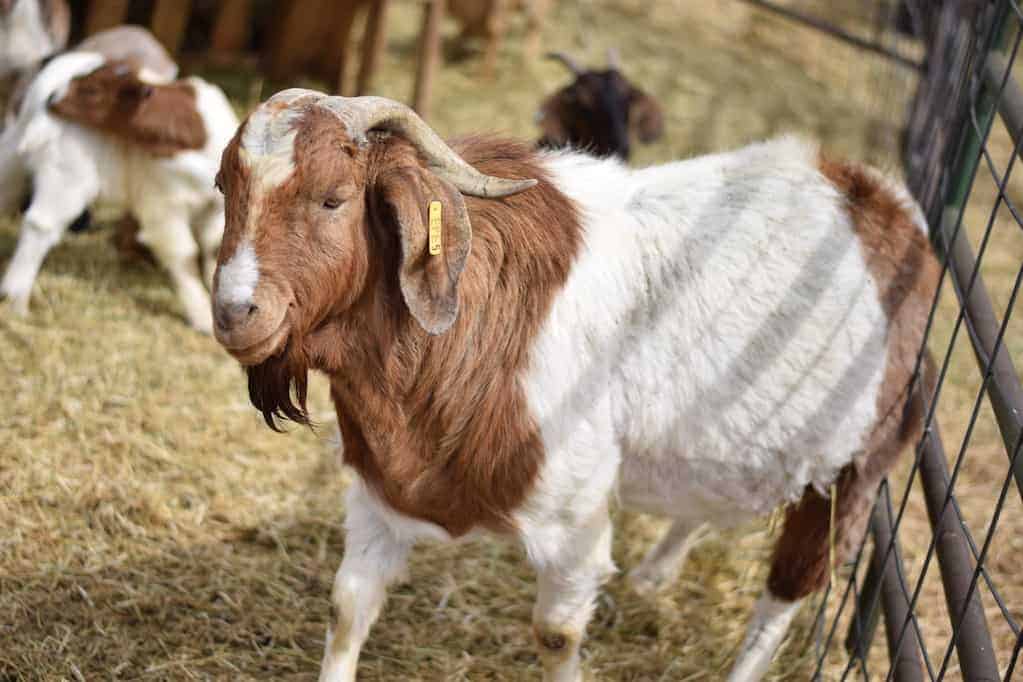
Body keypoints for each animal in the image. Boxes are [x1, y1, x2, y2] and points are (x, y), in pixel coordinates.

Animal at [0, 53, 237, 333]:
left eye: (92, 90)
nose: (53, 99)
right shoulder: (162, 204)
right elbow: (184, 254)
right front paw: (201, 316)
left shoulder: (217, 206)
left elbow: (214, 247)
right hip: (66, 174)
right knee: (40, 224)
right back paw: (16, 299)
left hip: (15, 150)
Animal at [211, 90, 937, 682]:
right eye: (224, 188)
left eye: (332, 198)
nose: (234, 311)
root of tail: (888, 206)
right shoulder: (380, 492)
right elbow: (347, 606)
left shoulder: (574, 519)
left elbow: (556, 634)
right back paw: (654, 574)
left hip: (854, 471)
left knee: (786, 594)